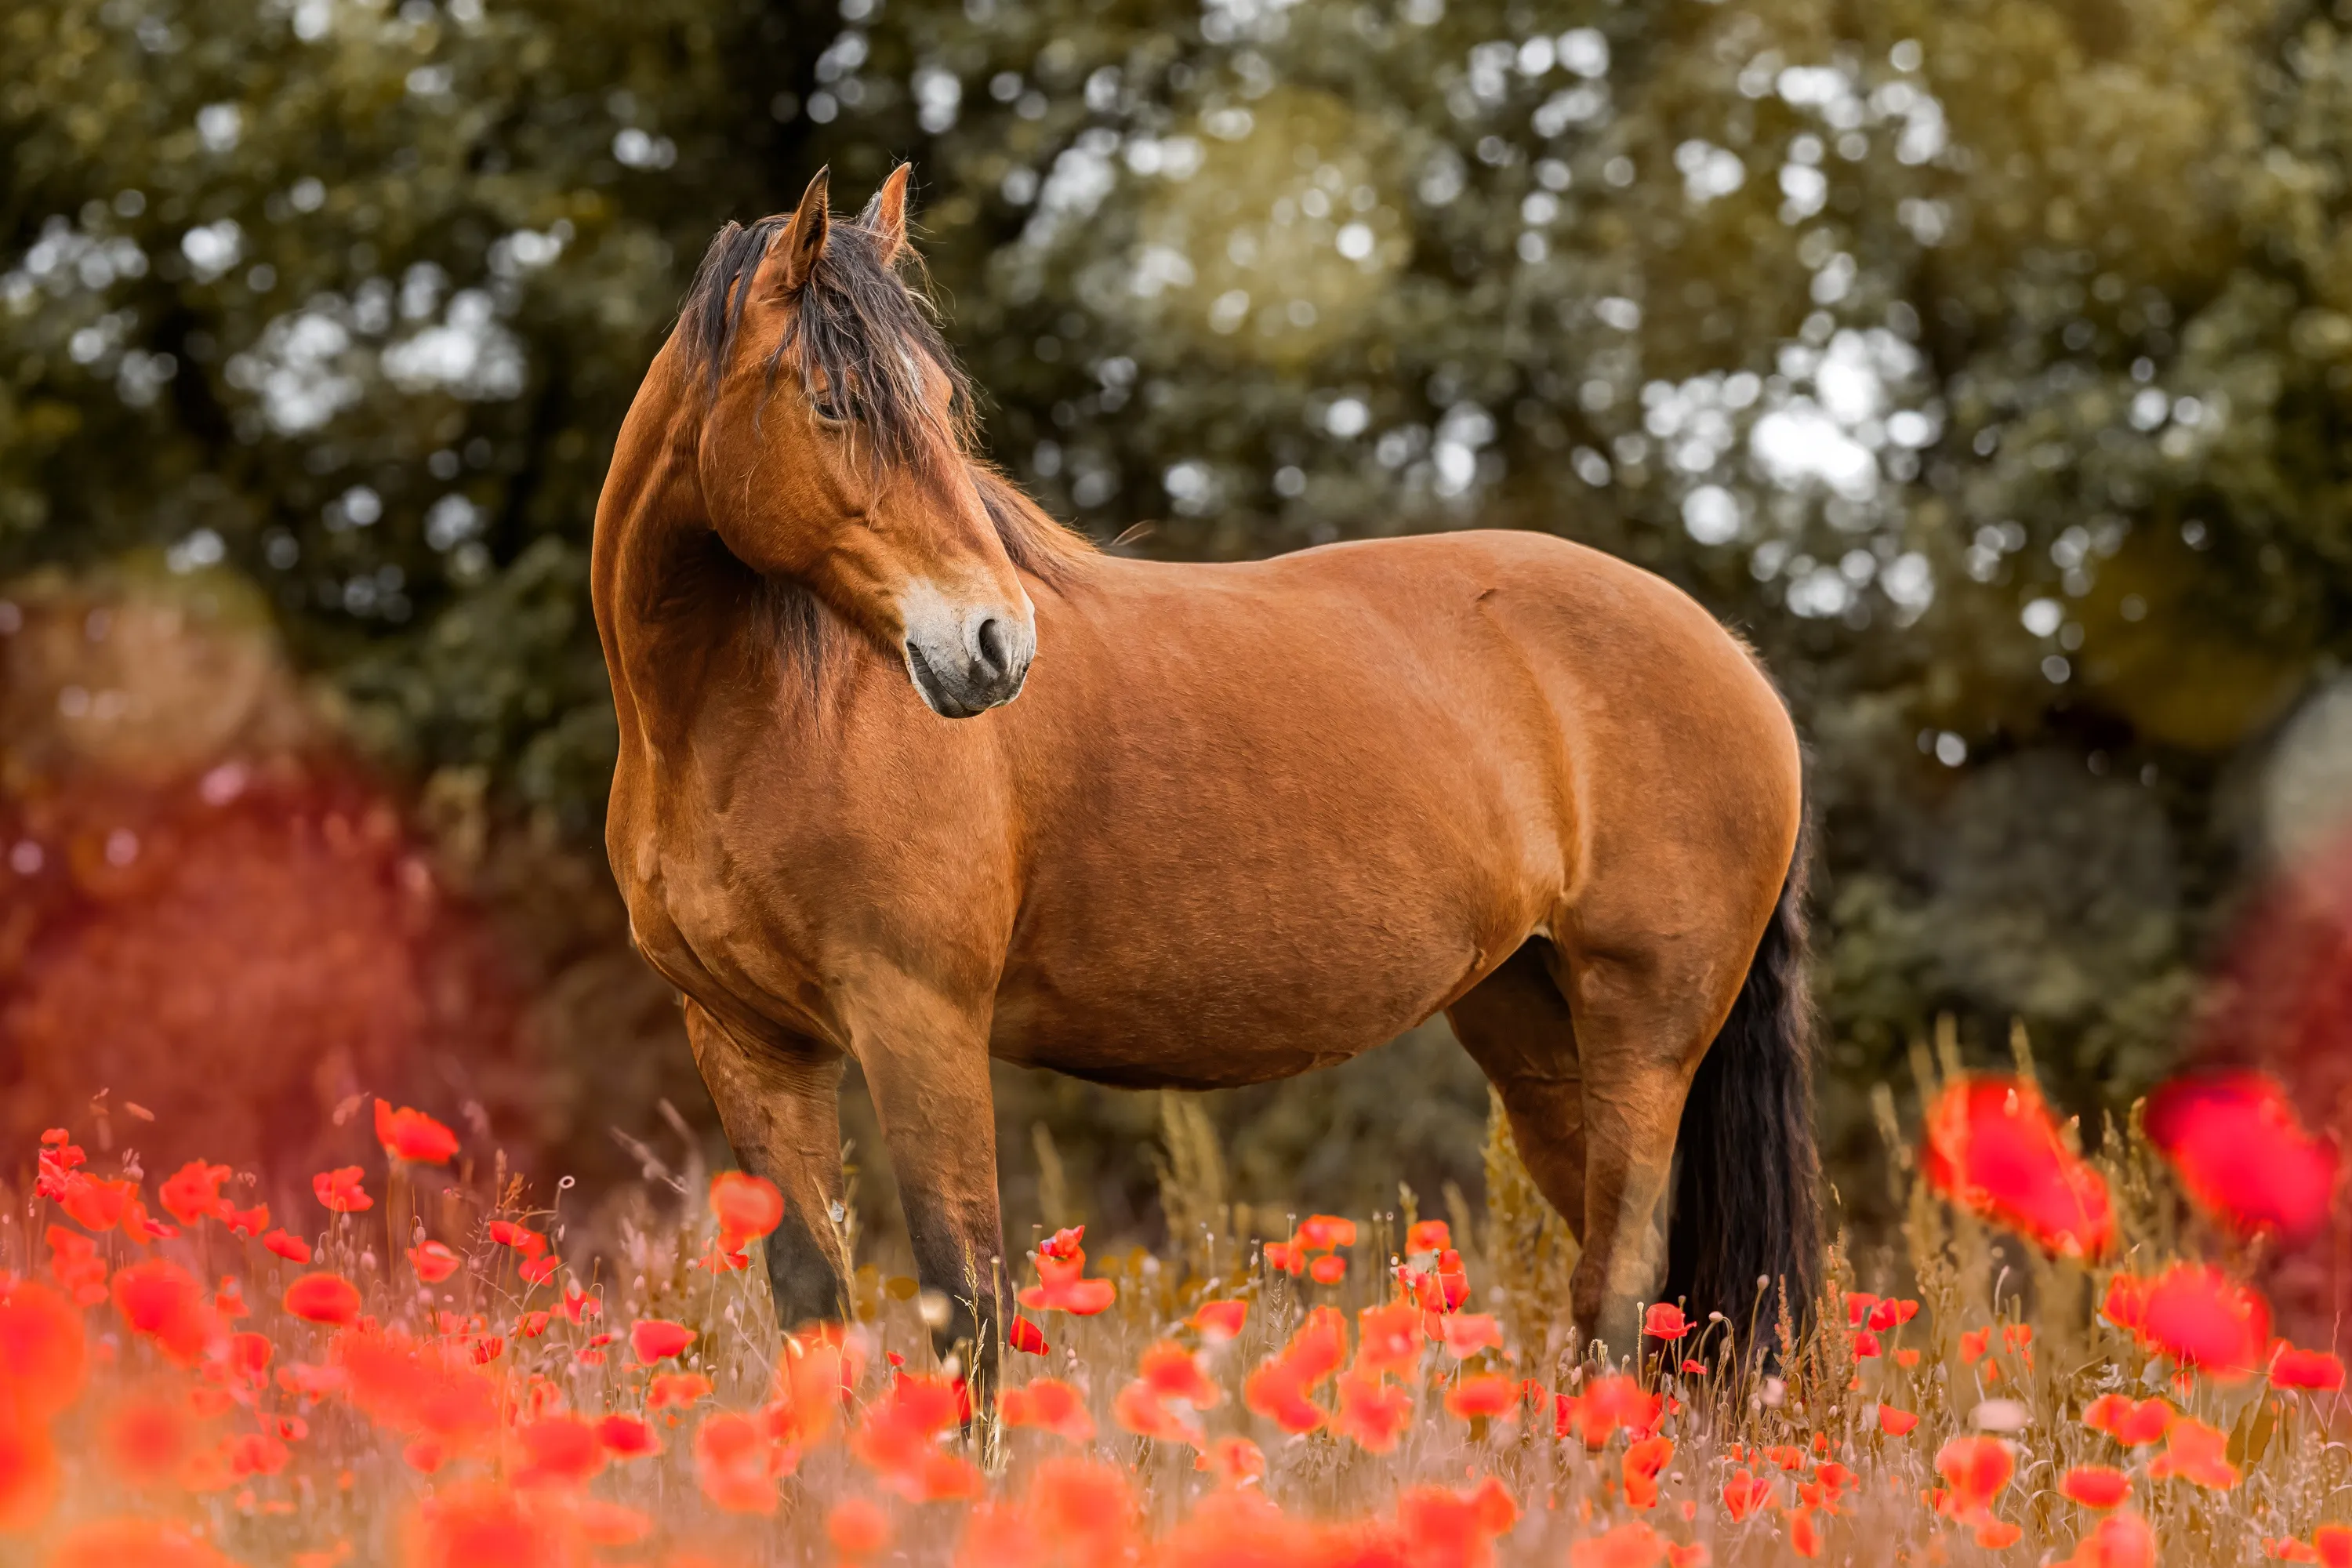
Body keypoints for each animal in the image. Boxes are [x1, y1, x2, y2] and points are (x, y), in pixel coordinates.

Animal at [590, 165, 1819, 1389]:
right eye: (834, 402)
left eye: (940, 406)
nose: (995, 646)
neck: (744, 728)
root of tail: (1737, 659)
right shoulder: (751, 1042)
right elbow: (814, 1307)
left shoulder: (917, 1021)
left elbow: (969, 1307)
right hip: (1534, 1029)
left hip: (1644, 1036)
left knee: (1623, 1288)